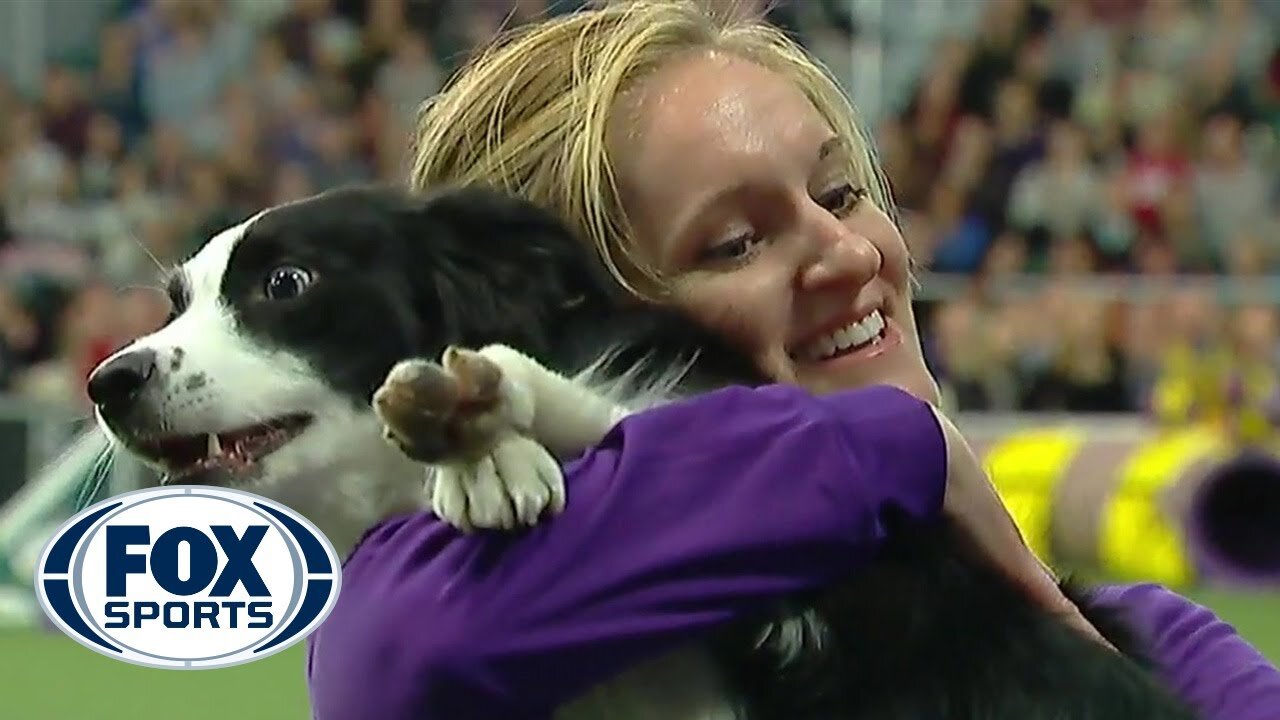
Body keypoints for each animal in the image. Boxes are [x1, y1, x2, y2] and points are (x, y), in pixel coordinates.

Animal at [90, 185, 1198, 717]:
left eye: (287, 284)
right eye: (177, 302)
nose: (110, 383)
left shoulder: (879, 594)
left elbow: (643, 417)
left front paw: (490, 424)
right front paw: (483, 440)